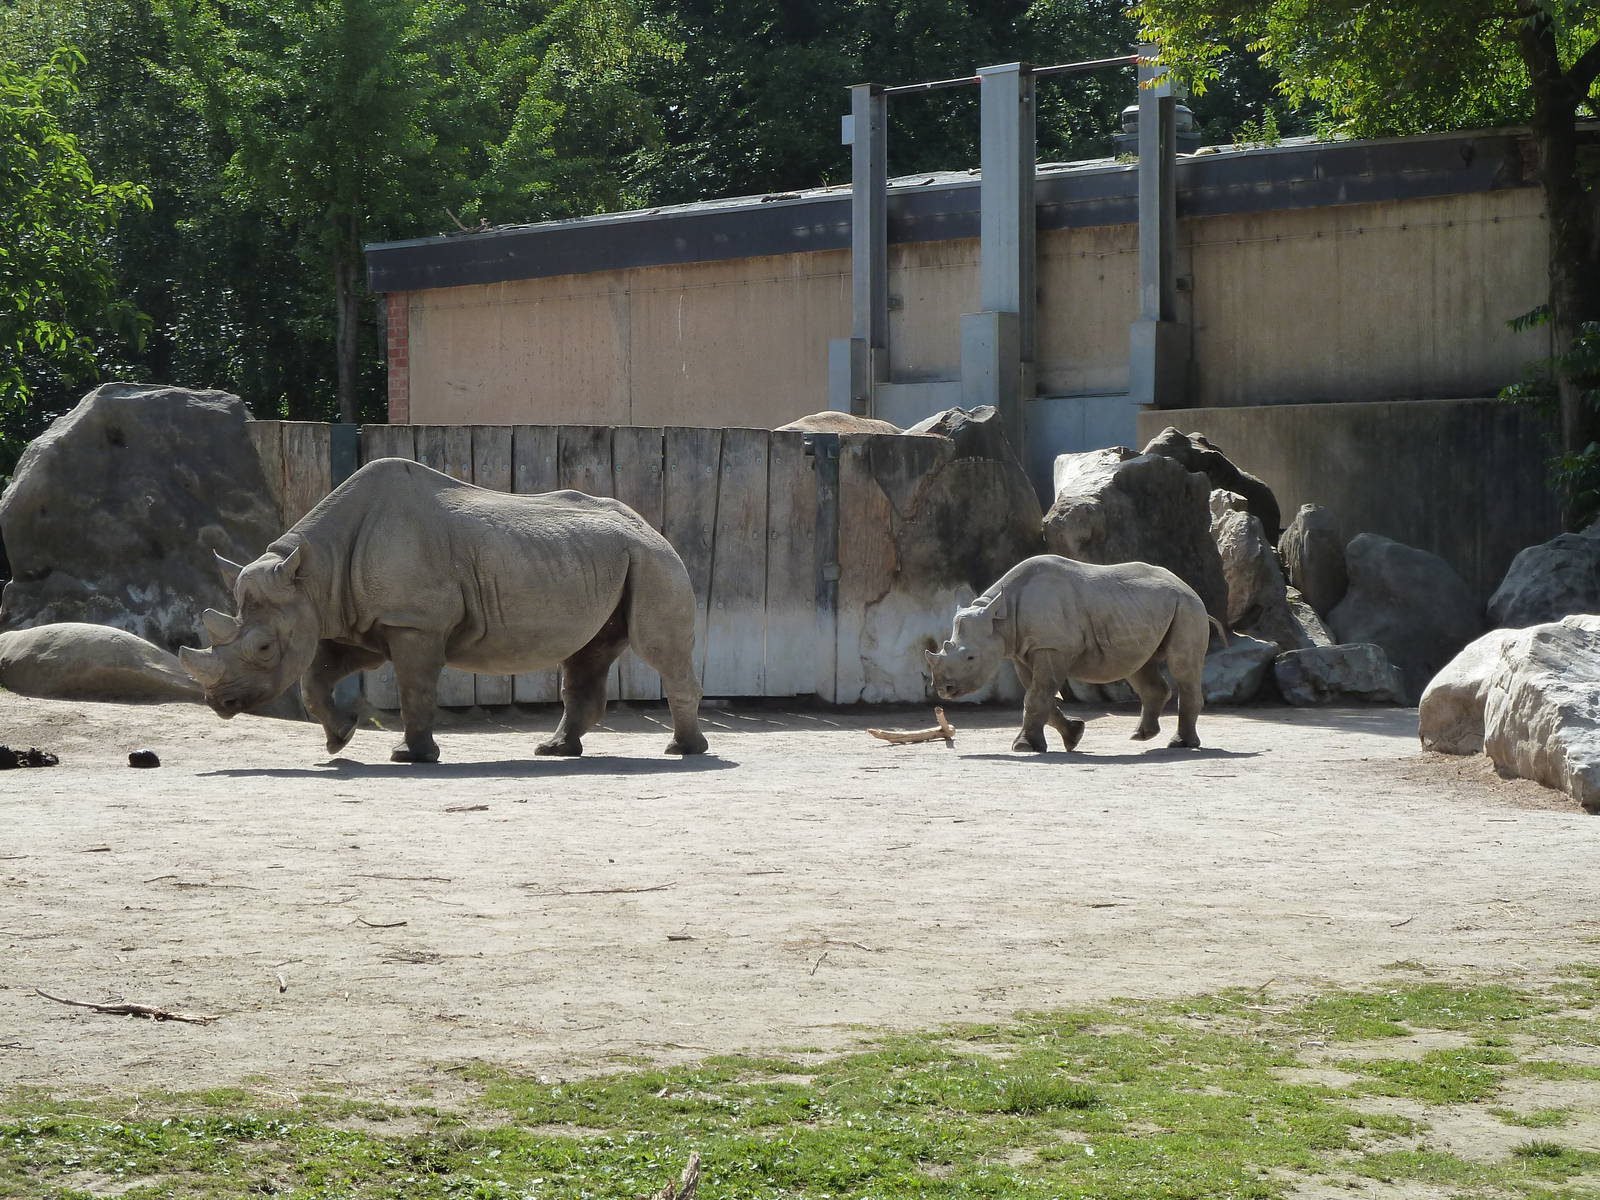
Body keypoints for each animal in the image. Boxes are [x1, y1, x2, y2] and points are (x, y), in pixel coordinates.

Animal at [179, 458, 708, 762]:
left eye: (264, 647)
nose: (218, 703)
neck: (313, 571)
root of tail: (648, 524)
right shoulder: (360, 619)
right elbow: (315, 678)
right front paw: (339, 739)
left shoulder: (414, 622)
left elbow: (414, 688)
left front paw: (410, 757)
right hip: (603, 560)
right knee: (588, 653)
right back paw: (554, 751)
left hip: (654, 561)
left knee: (657, 649)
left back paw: (683, 750)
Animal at [925, 554, 1222, 753]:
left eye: (970, 658)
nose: (943, 689)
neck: (1001, 616)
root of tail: (1188, 587)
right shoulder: (1024, 650)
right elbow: (1039, 695)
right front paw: (1073, 736)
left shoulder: (1051, 646)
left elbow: (1036, 696)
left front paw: (1023, 747)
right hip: (1146, 609)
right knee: (1139, 667)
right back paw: (1142, 736)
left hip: (1187, 607)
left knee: (1181, 667)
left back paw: (1180, 744)